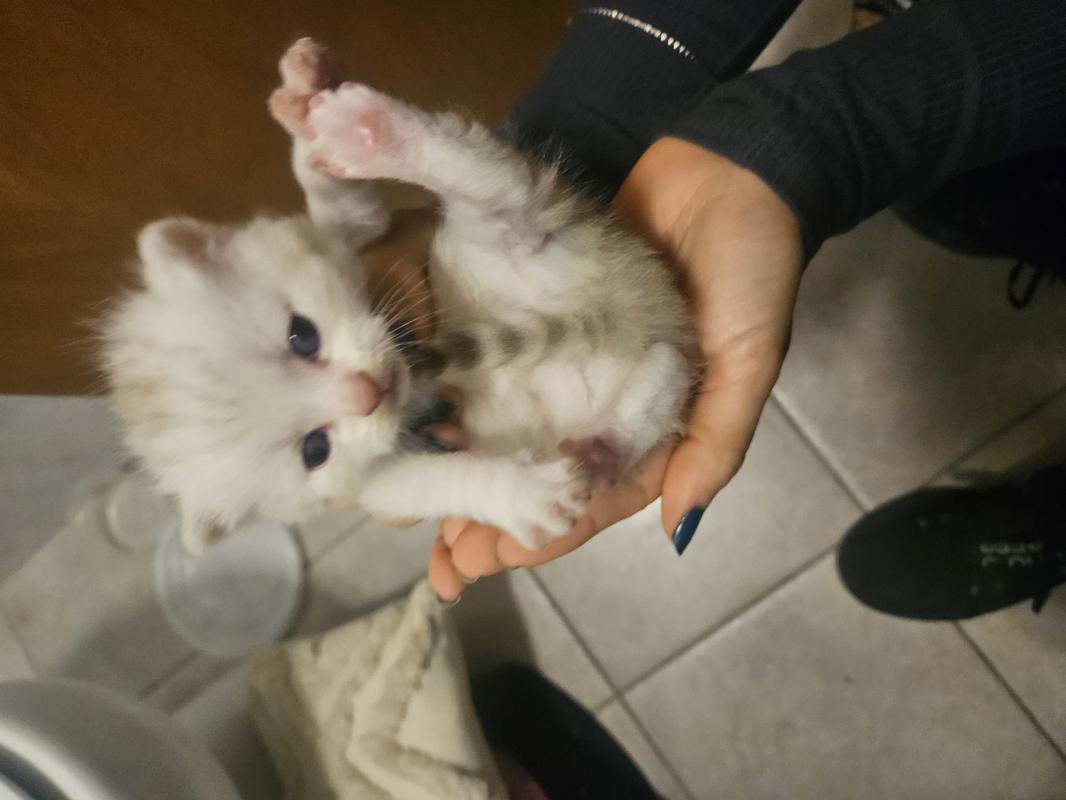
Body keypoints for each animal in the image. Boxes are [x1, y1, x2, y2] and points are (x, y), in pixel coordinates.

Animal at [102, 38, 695, 554]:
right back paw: (603, 450)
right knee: (663, 375)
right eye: (314, 450)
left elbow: (352, 209)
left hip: (535, 246)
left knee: (499, 189)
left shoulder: (365, 241)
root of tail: (623, 308)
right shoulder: (364, 480)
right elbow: (420, 480)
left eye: (301, 335)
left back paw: (371, 131)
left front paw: (309, 113)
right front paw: (522, 495)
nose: (370, 392)